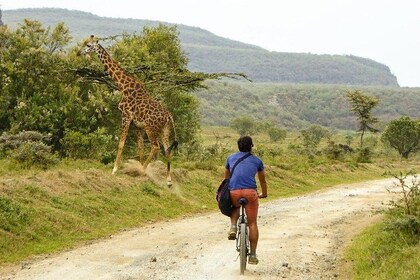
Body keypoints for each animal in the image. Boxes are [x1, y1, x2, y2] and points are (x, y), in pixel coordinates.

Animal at [77, 35, 177, 186]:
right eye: (84, 42)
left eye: (88, 45)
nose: (78, 53)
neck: (123, 85)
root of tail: (168, 115)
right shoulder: (138, 125)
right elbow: (140, 147)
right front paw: (137, 168)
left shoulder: (126, 116)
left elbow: (121, 143)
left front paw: (115, 170)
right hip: (164, 129)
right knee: (166, 149)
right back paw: (169, 180)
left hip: (151, 128)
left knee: (155, 147)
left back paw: (143, 169)